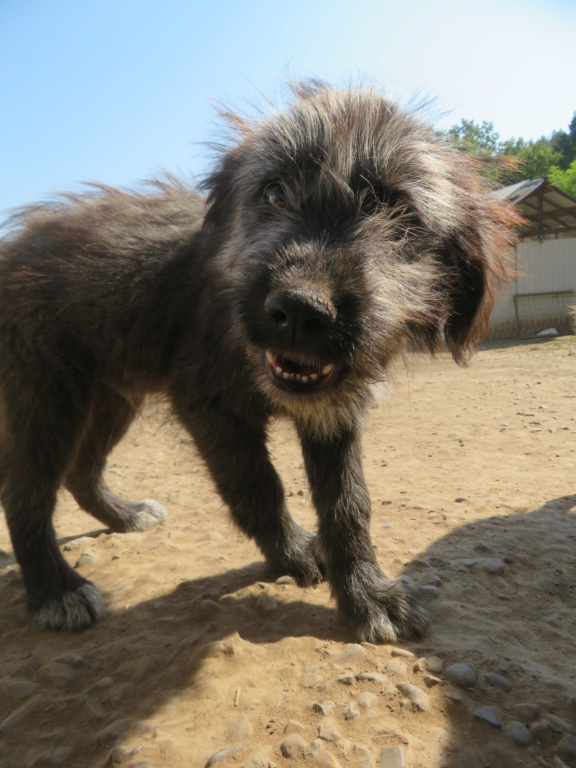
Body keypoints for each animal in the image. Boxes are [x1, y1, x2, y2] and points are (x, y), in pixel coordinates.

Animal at [0, 82, 516, 640]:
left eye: (398, 215)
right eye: (273, 193)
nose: (299, 311)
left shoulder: (334, 414)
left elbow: (348, 504)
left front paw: (367, 594)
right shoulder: (207, 403)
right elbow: (258, 487)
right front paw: (292, 555)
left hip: (112, 395)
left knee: (82, 470)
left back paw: (124, 516)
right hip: (47, 395)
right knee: (25, 491)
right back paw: (56, 589)